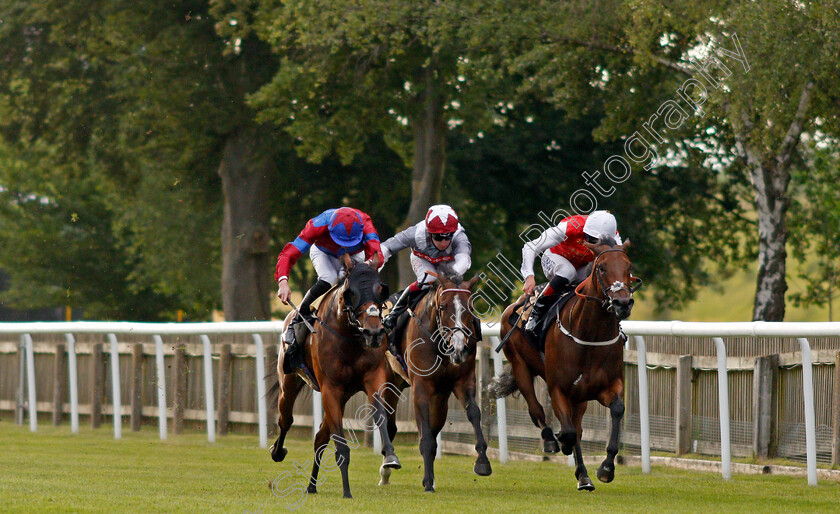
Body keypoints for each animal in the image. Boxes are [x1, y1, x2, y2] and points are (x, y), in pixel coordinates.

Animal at [270, 256, 400, 496]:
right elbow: (340, 442)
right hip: (289, 382)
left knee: (320, 437)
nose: (374, 333)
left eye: (381, 289)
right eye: (351, 293)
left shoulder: (374, 377)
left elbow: (380, 415)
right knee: (286, 418)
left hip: (344, 395)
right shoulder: (330, 388)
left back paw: (311, 486)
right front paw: (347, 491)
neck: (349, 338)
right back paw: (278, 451)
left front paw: (390, 456)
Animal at [380, 274, 492, 490]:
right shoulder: (421, 387)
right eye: (443, 307)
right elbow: (425, 435)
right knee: (387, 421)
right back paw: (387, 466)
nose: (459, 348)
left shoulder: (462, 381)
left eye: (470, 307)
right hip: (388, 381)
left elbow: (474, 413)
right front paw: (428, 483)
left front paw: (482, 462)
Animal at [488, 239, 640, 488]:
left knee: (575, 426)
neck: (590, 335)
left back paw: (584, 476)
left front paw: (606, 467)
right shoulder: (558, 387)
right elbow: (568, 431)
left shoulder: (607, 386)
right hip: (521, 367)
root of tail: (515, 305)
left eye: (629, 267)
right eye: (602, 268)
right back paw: (551, 440)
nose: (622, 303)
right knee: (536, 409)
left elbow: (616, 410)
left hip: (580, 397)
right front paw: (562, 442)